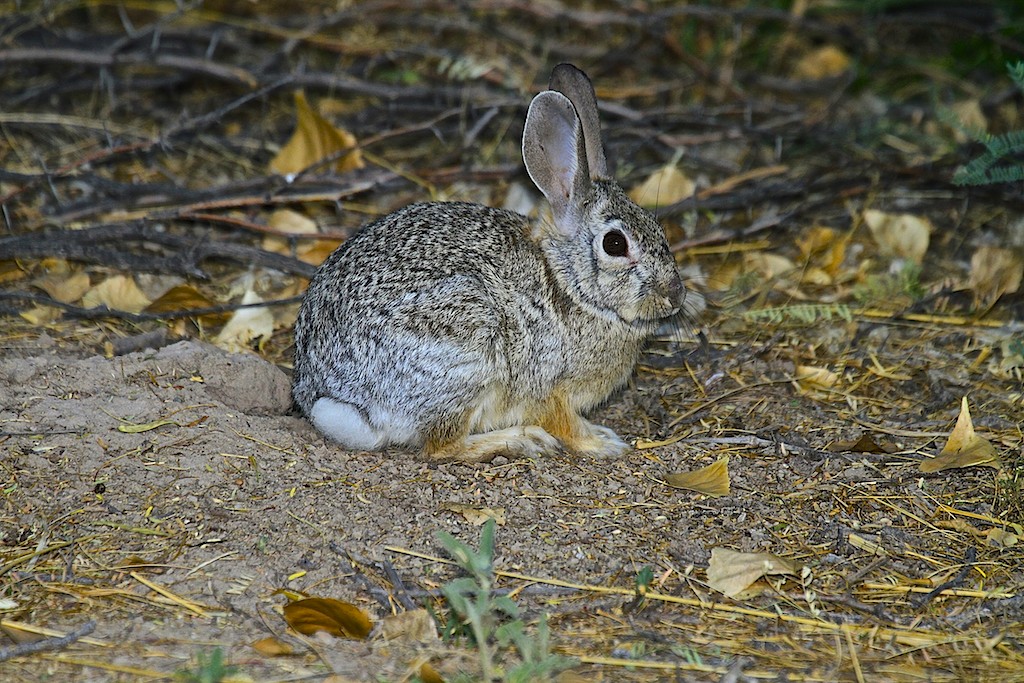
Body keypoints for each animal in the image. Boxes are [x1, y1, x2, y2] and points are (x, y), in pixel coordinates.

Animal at [292, 63, 692, 462]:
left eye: (657, 227)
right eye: (615, 244)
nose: (675, 295)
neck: (567, 284)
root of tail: (334, 396)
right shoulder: (548, 386)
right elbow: (564, 423)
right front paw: (602, 442)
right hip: (468, 352)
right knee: (442, 446)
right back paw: (521, 439)